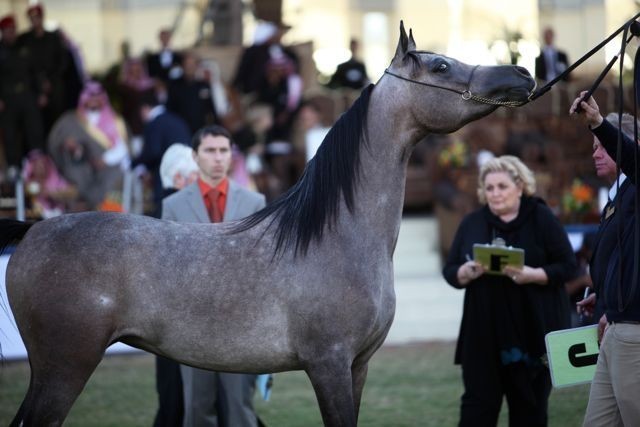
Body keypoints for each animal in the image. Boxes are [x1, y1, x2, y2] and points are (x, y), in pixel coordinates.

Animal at [1, 22, 535, 427]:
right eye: (440, 66)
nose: (523, 72)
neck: (337, 236)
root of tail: (34, 230)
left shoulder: (358, 367)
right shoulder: (329, 365)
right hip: (65, 368)